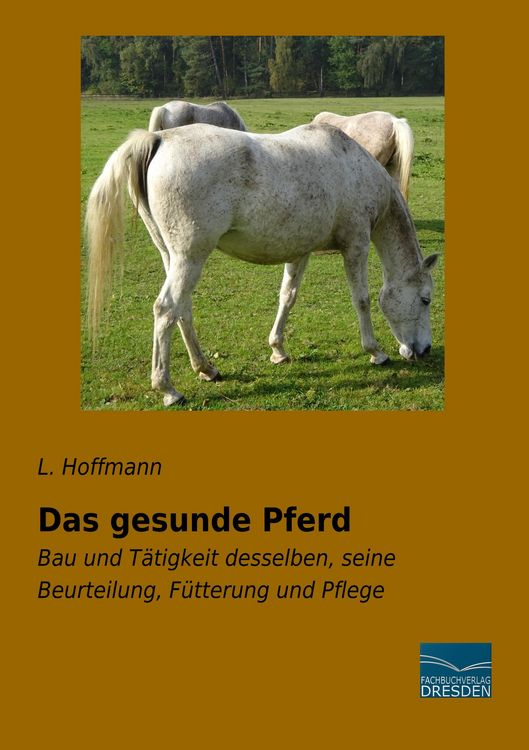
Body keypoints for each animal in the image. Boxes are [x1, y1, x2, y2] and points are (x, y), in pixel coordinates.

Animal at [86, 122, 438, 407]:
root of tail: (159, 138)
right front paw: (376, 352)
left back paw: (206, 368)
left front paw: (278, 350)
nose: (424, 350)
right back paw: (168, 389)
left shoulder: (300, 251)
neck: (354, 167)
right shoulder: (356, 245)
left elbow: (288, 297)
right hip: (190, 257)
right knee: (166, 309)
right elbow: (362, 300)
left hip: (172, 256)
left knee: (181, 310)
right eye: (425, 299)